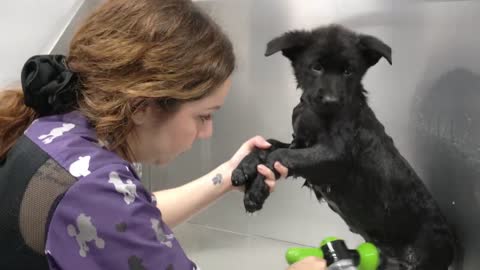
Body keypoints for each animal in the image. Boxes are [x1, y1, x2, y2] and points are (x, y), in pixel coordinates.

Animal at [232, 24, 458, 268]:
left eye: (349, 71)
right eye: (316, 67)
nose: (331, 100)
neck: (318, 114)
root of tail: (451, 247)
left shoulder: (334, 156)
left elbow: (279, 155)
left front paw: (256, 192)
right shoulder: (299, 143)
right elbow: (270, 145)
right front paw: (244, 168)